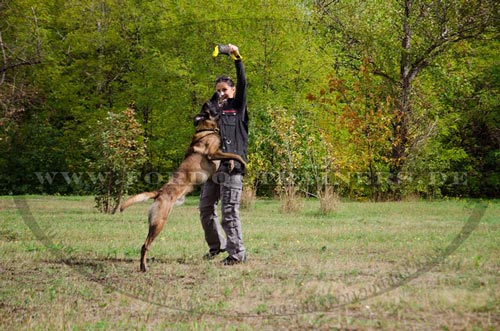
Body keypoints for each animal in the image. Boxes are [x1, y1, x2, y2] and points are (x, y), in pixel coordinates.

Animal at [121, 102, 246, 274]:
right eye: (210, 105)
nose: (211, 100)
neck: (205, 130)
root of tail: (159, 192)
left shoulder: (219, 153)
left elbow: (231, 156)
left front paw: (233, 165)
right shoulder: (213, 153)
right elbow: (235, 154)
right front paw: (244, 163)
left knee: (144, 245)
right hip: (159, 222)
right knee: (144, 245)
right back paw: (144, 267)